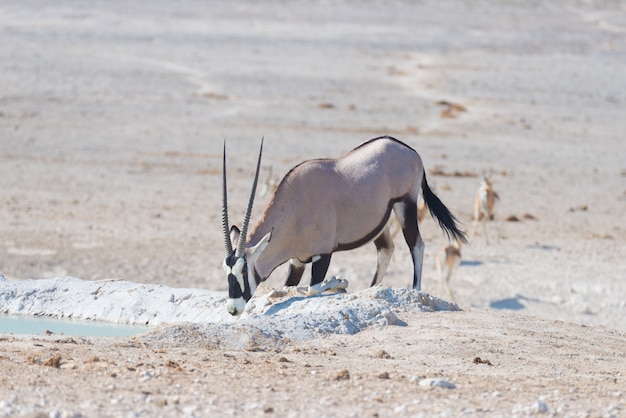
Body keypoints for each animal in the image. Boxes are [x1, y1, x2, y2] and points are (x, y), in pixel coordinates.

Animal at [222, 136, 466, 316]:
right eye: (227, 271)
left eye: (244, 269)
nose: (233, 309)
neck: (295, 205)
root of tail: (410, 150)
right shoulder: (297, 261)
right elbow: (289, 286)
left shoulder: (323, 254)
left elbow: (312, 288)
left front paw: (340, 281)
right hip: (381, 221)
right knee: (386, 249)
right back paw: (371, 289)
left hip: (405, 205)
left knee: (416, 245)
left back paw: (415, 289)